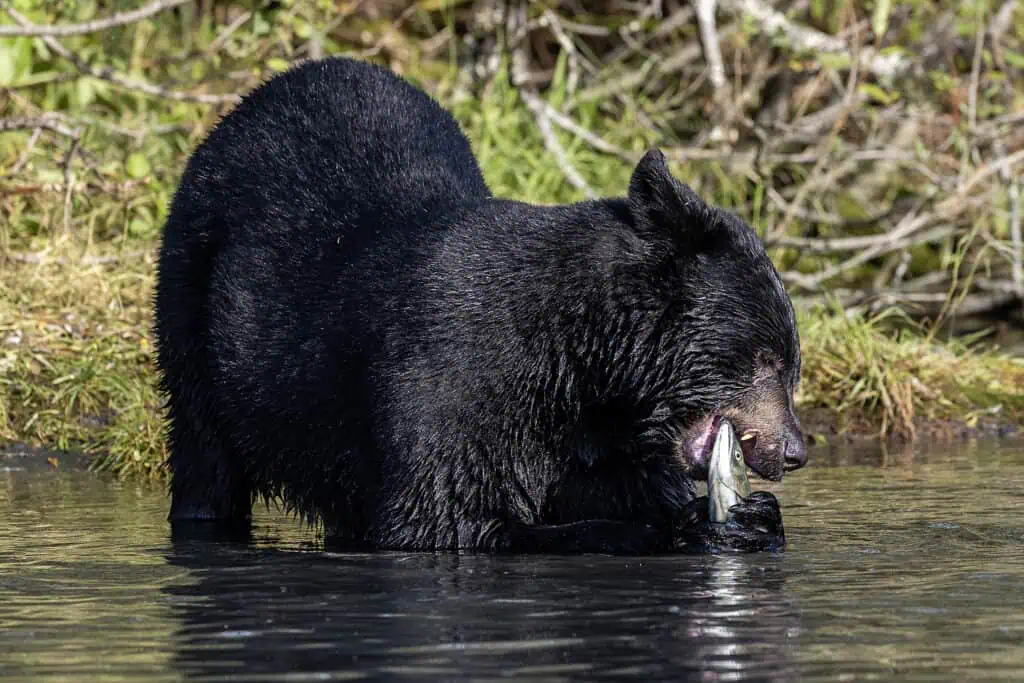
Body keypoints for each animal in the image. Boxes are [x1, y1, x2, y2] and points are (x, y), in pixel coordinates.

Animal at [153, 54, 806, 557]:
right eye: (766, 359)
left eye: (788, 364)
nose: (795, 450)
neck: (578, 360)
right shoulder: (452, 382)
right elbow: (441, 517)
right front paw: (690, 529)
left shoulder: (598, 431)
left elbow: (622, 485)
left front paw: (752, 517)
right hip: (192, 310)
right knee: (204, 459)